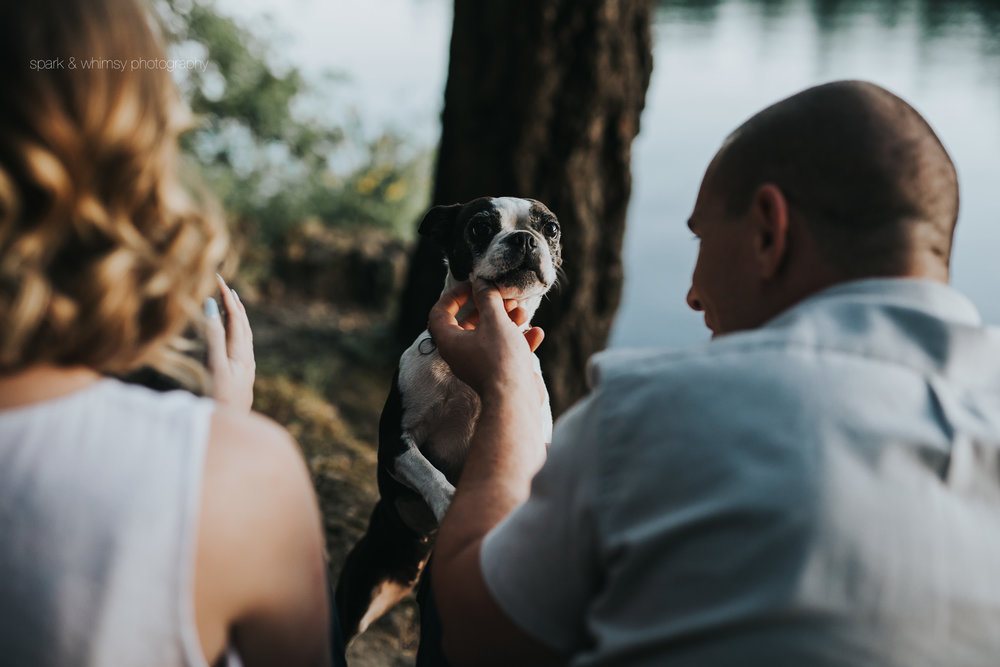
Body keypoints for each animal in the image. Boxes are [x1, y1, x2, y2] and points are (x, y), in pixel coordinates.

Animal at [336, 197, 564, 640]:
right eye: (479, 227)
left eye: (551, 229)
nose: (525, 238)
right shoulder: (395, 445)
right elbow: (430, 473)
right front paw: (450, 504)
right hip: (361, 588)